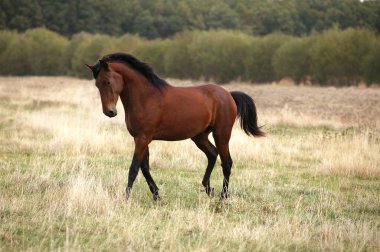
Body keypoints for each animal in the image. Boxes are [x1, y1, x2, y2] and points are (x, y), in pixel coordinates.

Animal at [85, 52, 264, 201]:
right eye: (97, 85)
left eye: (107, 81)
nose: (109, 112)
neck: (146, 97)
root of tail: (229, 94)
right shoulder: (141, 139)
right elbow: (145, 168)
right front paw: (156, 195)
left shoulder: (142, 138)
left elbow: (134, 168)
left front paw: (126, 198)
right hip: (199, 136)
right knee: (213, 154)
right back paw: (208, 189)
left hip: (222, 134)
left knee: (226, 162)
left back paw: (223, 196)